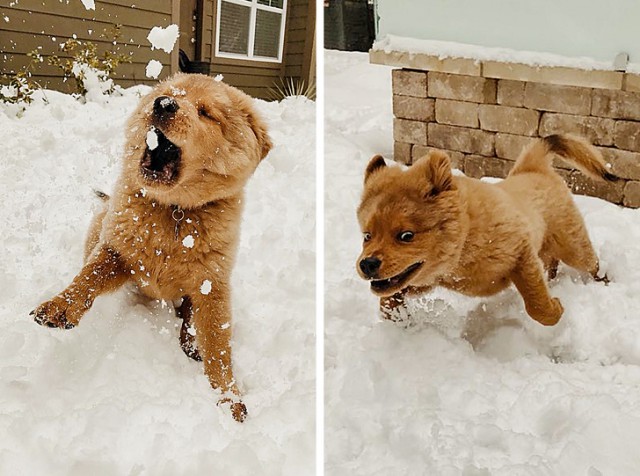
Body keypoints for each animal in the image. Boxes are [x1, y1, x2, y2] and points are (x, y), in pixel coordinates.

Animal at [31, 72, 272, 422]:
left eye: (206, 113)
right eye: (170, 93)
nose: (164, 104)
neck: (175, 211)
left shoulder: (212, 282)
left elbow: (218, 344)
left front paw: (230, 400)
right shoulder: (120, 251)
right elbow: (91, 275)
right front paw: (60, 306)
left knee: (189, 315)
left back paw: (190, 339)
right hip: (100, 222)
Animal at [360, 134, 616, 328]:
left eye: (406, 236)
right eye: (367, 236)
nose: (367, 264)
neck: (466, 239)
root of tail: (534, 168)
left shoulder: (521, 253)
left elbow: (536, 304)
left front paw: (556, 309)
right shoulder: (424, 279)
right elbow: (389, 296)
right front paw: (396, 316)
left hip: (573, 246)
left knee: (592, 264)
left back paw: (605, 281)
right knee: (551, 263)